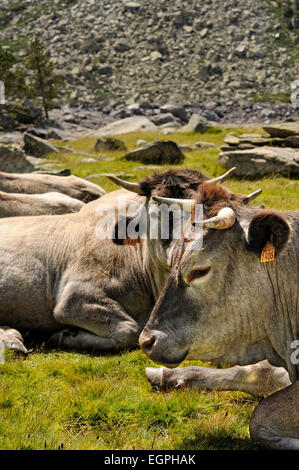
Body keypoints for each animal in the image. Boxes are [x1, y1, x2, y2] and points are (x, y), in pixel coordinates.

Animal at [140, 179, 299, 448]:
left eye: (199, 271)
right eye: (171, 262)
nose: (146, 341)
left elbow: (261, 416)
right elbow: (253, 372)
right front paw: (169, 375)